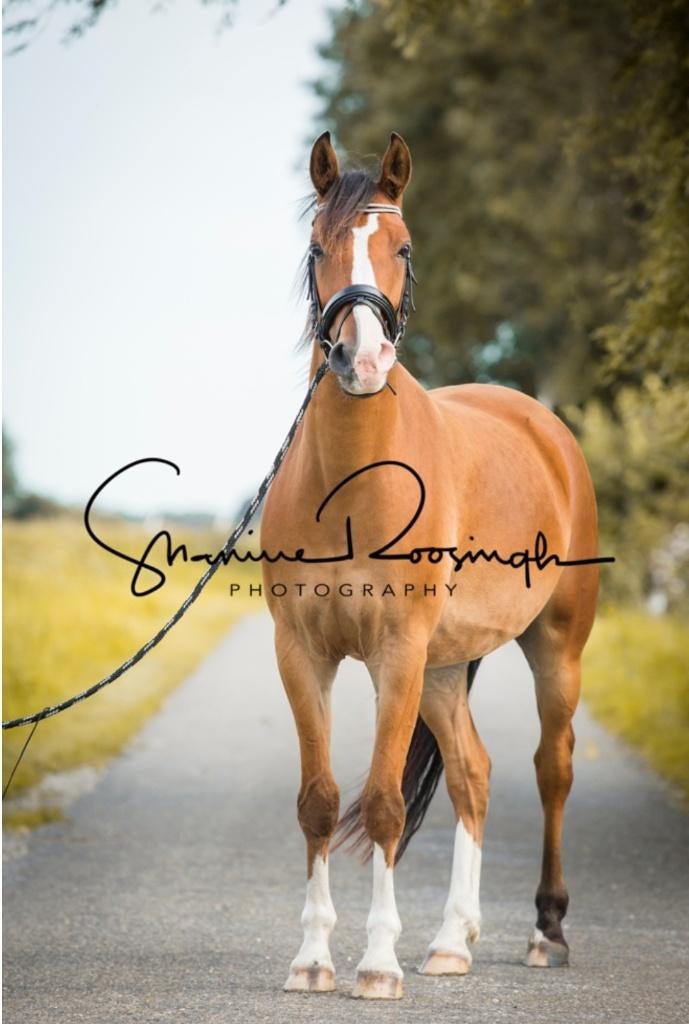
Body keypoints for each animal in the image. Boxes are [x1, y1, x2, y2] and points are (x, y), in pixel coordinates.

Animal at [260, 131, 600, 1000]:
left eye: (403, 247)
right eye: (316, 248)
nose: (361, 359)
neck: (353, 483)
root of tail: (544, 426)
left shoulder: (395, 654)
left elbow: (381, 803)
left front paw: (377, 965)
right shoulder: (303, 654)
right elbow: (318, 801)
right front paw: (311, 959)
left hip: (553, 648)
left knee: (551, 768)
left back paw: (545, 931)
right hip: (446, 667)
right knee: (472, 773)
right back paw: (451, 941)